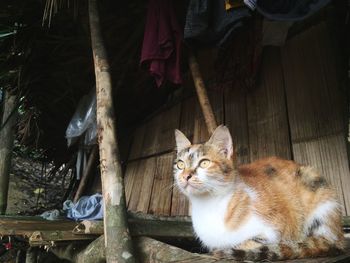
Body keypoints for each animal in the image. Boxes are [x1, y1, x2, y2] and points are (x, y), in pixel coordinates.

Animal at [174, 126, 344, 262]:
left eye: (204, 163)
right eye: (180, 164)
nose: (186, 176)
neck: (208, 204)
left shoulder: (272, 232)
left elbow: (246, 243)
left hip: (318, 192)